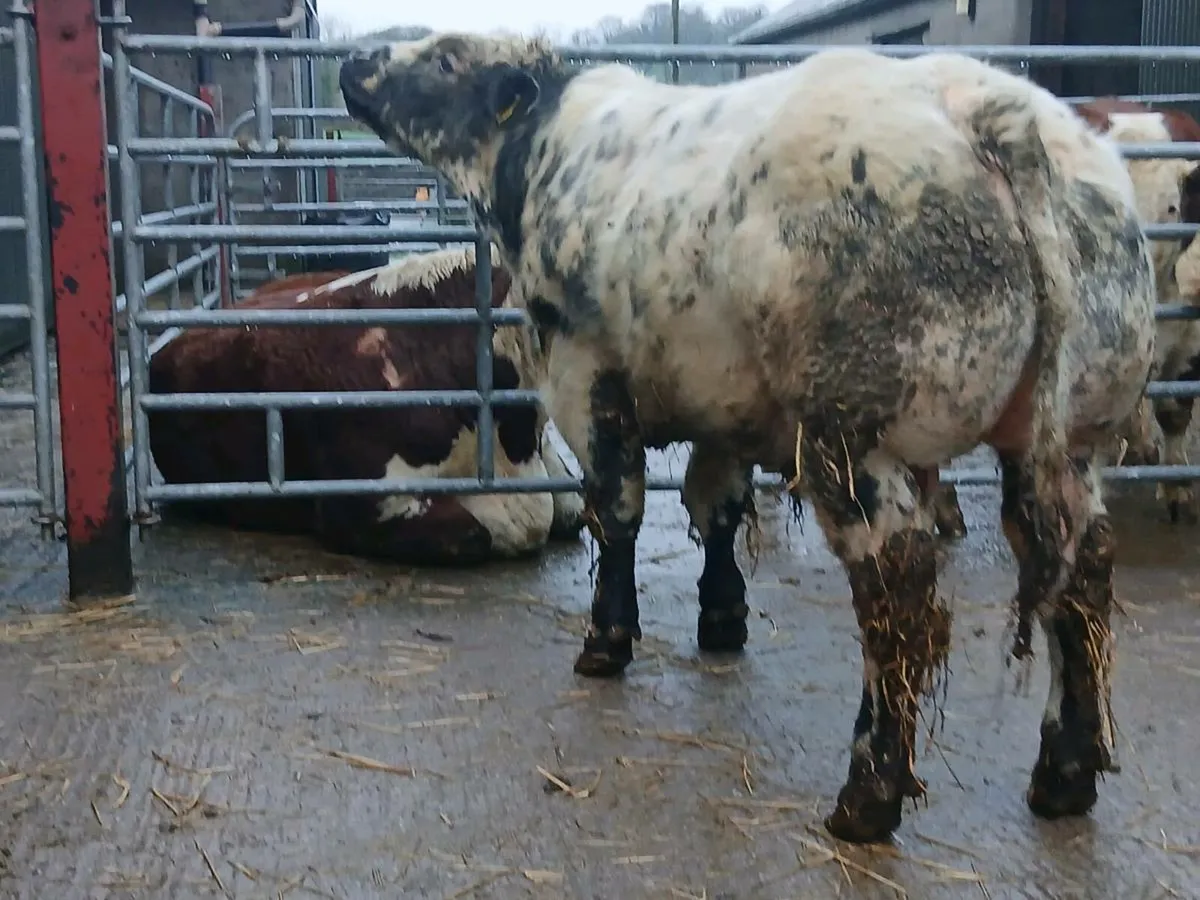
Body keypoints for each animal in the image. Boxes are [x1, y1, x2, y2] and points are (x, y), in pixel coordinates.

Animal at [339, 35, 1157, 843]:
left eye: (445, 58)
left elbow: (618, 509)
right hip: (1076, 435)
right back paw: (1065, 772)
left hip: (854, 438)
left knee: (897, 590)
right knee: (1084, 571)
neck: (541, 152)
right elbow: (717, 507)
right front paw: (723, 617)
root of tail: (996, 108)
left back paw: (868, 793)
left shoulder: (585, 372)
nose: (353, 63)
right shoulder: (721, 397)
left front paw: (607, 640)